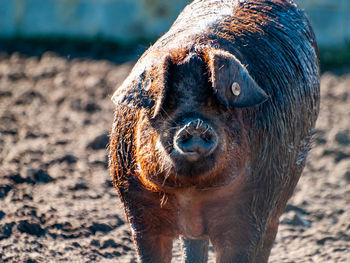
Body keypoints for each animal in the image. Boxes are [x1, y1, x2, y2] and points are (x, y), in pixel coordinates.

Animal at [108, 0, 320, 262]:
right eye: (166, 104)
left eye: (221, 106)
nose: (195, 124)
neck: (192, 193)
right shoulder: (136, 203)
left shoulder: (251, 206)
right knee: (193, 243)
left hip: (281, 194)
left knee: (267, 237)